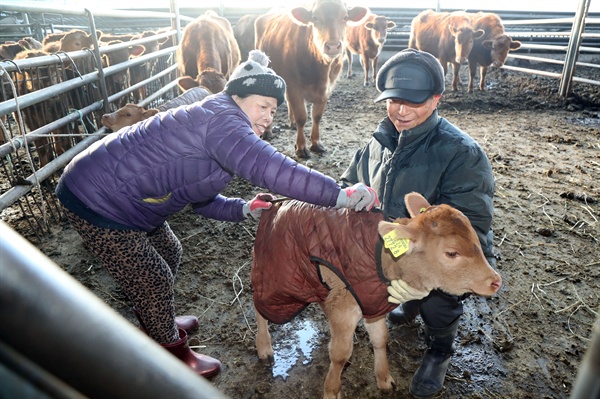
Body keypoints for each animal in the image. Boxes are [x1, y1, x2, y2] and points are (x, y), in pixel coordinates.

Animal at [252, 192, 502, 398]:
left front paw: (384, 379)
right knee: (259, 306)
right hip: (278, 275)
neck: (384, 259)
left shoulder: (373, 302)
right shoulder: (345, 305)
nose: (495, 281)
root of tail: (274, 202)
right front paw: (332, 391)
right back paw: (264, 347)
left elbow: (381, 338)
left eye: (475, 239)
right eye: (451, 253)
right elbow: (340, 354)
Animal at [254, 0, 368, 159]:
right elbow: (302, 117)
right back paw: (267, 132)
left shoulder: (327, 88)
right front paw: (301, 147)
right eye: (315, 17)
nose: (333, 46)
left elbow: (317, 116)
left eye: (345, 17)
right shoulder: (294, 86)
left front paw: (316, 144)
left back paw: (291, 123)